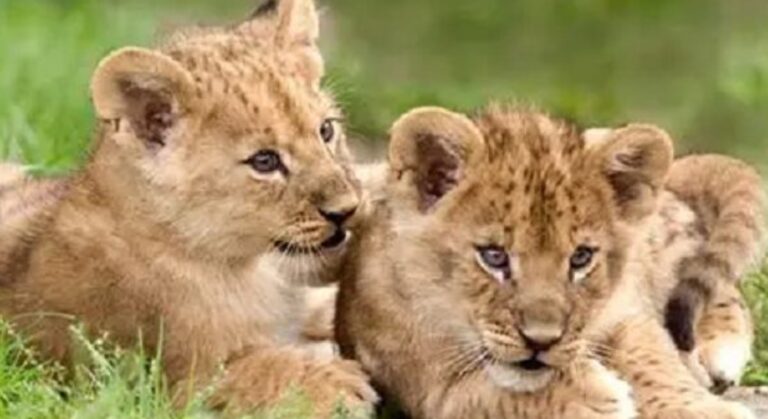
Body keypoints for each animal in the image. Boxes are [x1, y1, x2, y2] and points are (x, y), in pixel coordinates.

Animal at [0, 0, 377, 415]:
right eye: (264, 161)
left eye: (326, 130)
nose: (347, 210)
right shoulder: (156, 384)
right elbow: (253, 371)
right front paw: (340, 383)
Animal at [336, 105, 757, 418]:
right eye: (494, 256)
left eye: (581, 258)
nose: (541, 341)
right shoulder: (424, 389)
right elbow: (491, 393)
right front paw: (596, 396)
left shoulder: (626, 310)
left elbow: (654, 361)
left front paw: (703, 410)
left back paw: (718, 353)